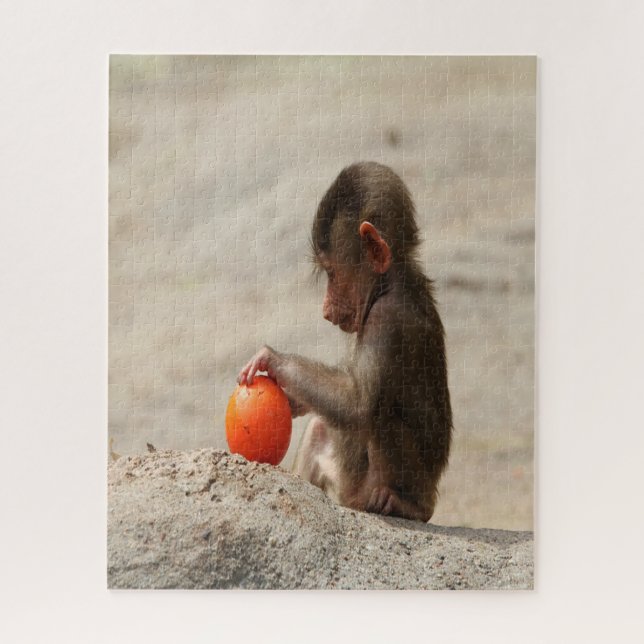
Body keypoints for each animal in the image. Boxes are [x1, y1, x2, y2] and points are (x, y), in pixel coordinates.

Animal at [238, 161, 452, 522]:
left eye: (332, 273)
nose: (325, 310)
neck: (390, 282)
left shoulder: (386, 320)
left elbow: (358, 404)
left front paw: (274, 360)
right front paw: (294, 400)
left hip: (374, 486)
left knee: (379, 417)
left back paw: (406, 504)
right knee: (320, 429)